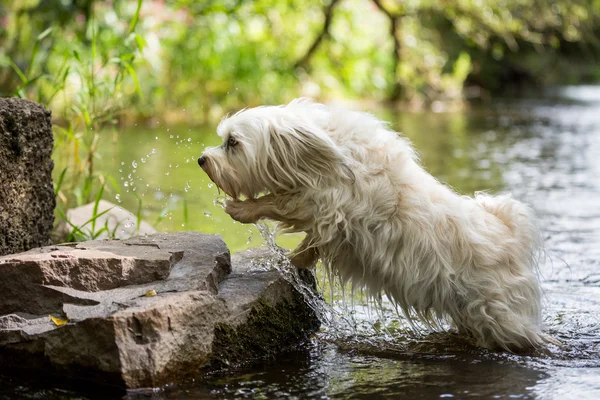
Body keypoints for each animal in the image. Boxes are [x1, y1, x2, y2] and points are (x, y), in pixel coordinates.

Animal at [200, 98, 548, 352]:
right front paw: (291, 260)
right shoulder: (331, 222)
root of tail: (512, 236)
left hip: (501, 318)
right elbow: (309, 244)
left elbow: (282, 203)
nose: (202, 159)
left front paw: (242, 209)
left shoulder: (330, 203)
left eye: (233, 143)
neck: (322, 154)